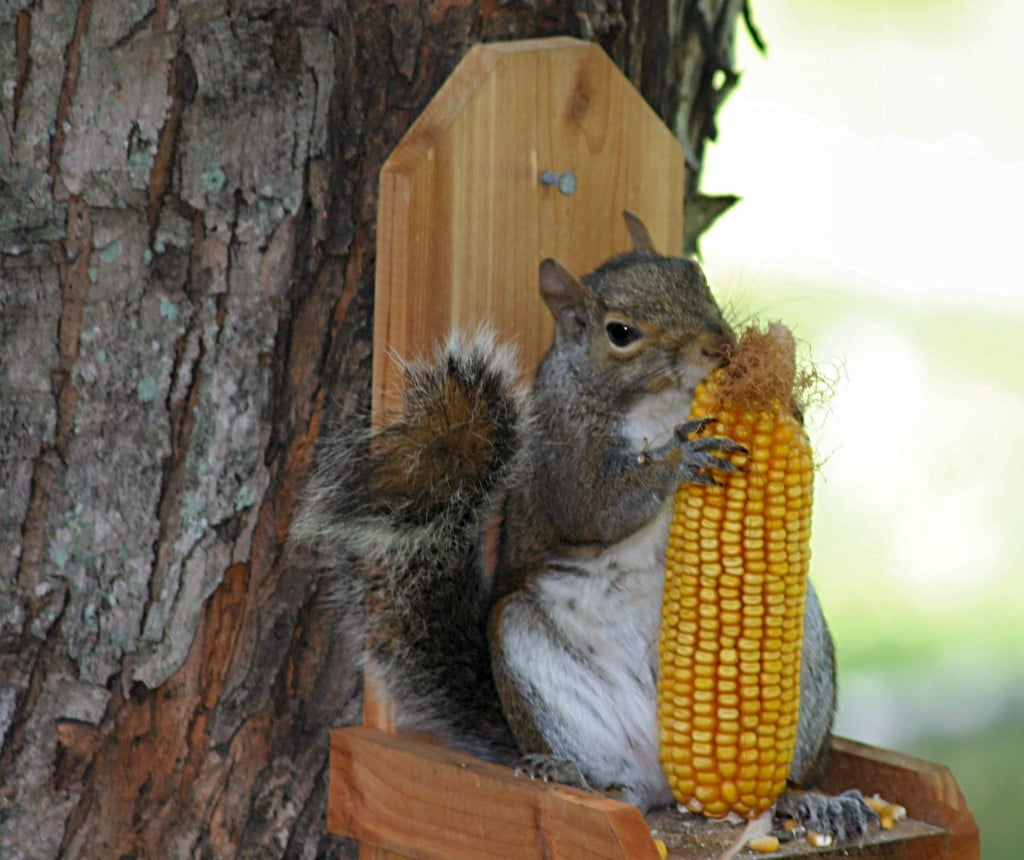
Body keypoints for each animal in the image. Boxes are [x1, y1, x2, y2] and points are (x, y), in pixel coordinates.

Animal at [294, 212, 872, 839]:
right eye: (620, 332)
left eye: (693, 274)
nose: (719, 345)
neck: (661, 403)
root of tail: (674, 786)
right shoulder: (558, 453)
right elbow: (596, 507)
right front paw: (679, 461)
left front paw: (782, 399)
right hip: (527, 649)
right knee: (616, 784)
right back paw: (573, 775)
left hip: (805, 650)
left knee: (782, 778)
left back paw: (812, 801)